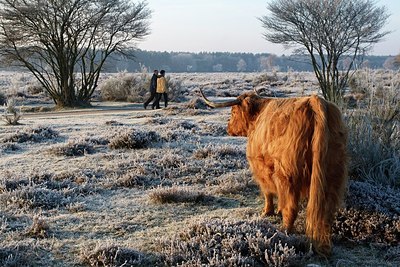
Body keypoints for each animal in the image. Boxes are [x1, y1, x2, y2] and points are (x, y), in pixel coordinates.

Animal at [202, 90, 348, 258]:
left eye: (233, 112)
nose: (228, 128)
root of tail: (314, 101)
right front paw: (276, 210)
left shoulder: (261, 167)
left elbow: (268, 192)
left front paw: (267, 212)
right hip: (333, 173)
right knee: (327, 210)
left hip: (288, 175)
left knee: (291, 207)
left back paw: (284, 231)